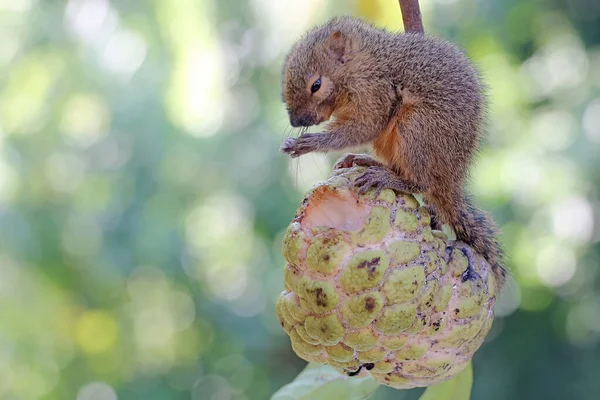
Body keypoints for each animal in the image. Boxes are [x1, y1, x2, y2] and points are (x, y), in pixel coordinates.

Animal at [278, 16, 504, 288]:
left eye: (316, 85)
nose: (295, 121)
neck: (359, 65)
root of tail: (450, 181)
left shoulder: (374, 91)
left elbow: (365, 127)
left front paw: (309, 143)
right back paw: (369, 162)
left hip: (417, 129)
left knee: (420, 183)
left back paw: (387, 177)